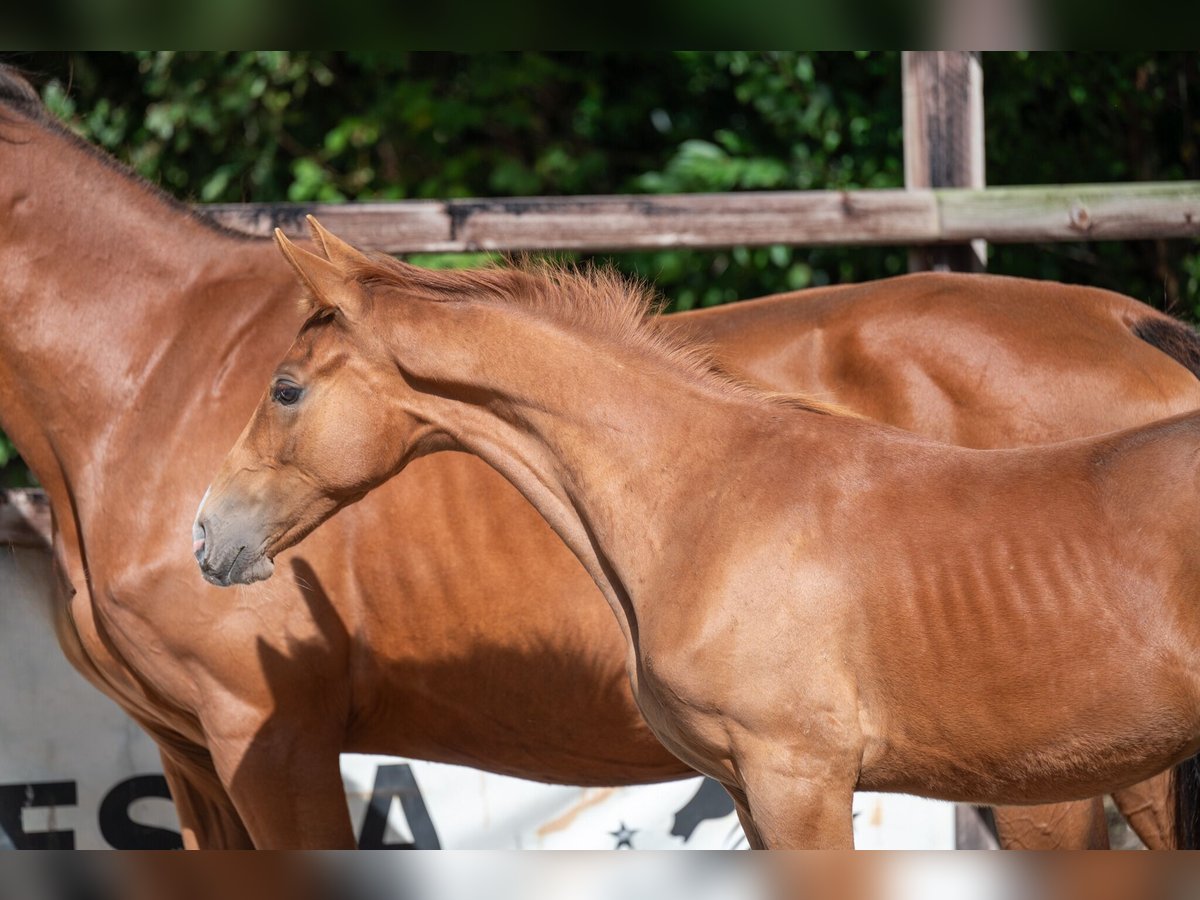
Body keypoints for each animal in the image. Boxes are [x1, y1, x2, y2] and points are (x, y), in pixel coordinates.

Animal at [0, 66, 1195, 849]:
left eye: (284, 389)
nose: (209, 533)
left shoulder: (268, 733)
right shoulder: (189, 755)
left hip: (1054, 779)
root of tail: (1132, 319)